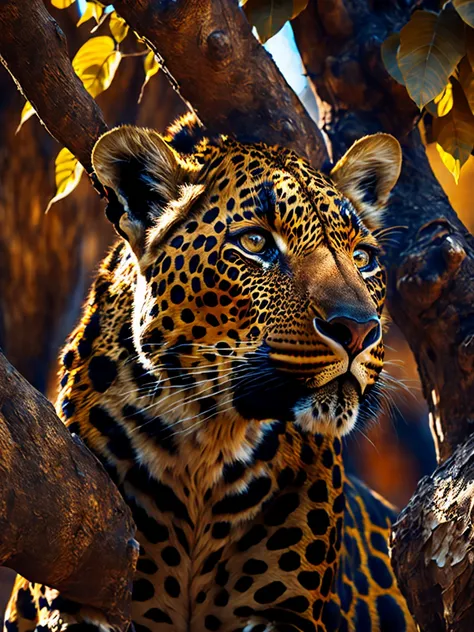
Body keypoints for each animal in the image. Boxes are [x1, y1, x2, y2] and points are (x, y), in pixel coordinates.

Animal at [6, 119, 414, 632]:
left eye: (363, 258)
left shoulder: (285, 613)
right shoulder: (79, 593)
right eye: (256, 244)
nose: (358, 328)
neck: (208, 442)